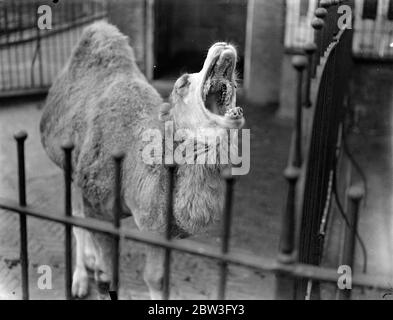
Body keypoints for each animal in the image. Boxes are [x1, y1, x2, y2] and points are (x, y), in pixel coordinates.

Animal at [39, 21, 242, 298]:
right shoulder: (97, 205)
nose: (221, 45)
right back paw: (80, 279)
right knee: (77, 218)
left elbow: (155, 278)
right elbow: (109, 273)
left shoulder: (158, 227)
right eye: (182, 83)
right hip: (68, 165)